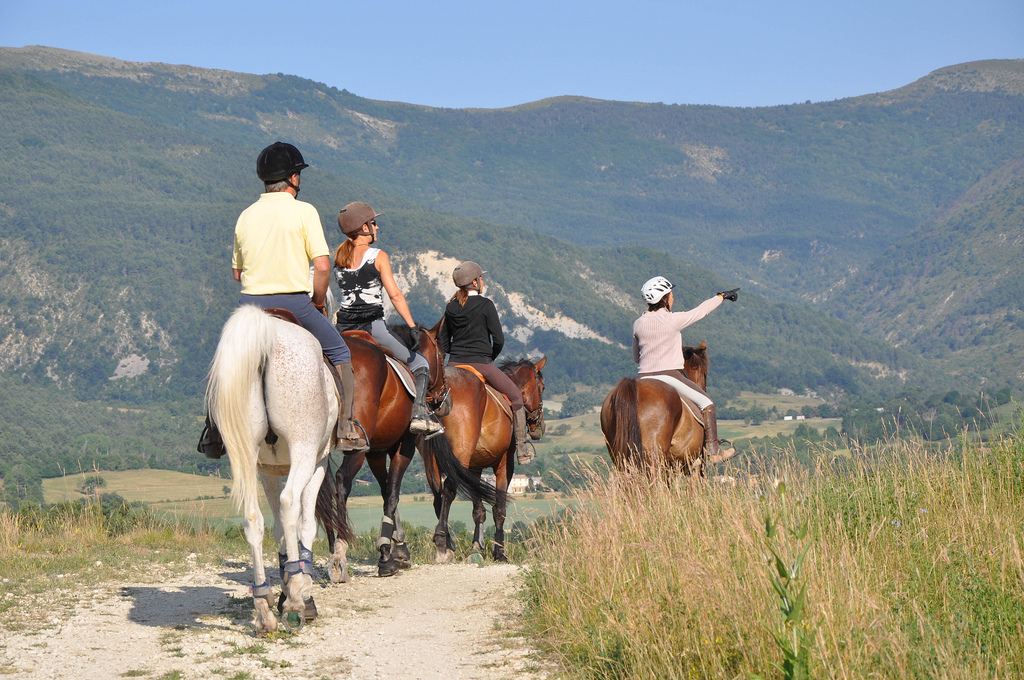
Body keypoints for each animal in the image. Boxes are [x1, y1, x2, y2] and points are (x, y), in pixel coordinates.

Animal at [206, 304, 347, 635]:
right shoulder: (317, 462)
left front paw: (282, 592)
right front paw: (300, 593)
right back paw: (295, 601)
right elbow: (304, 523)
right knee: (290, 502)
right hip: (304, 449)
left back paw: (264, 609)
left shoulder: (267, 471)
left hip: (245, 454)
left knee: (252, 518)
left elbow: (279, 530)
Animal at [418, 324, 546, 562]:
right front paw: (499, 551)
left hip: (432, 460)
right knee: (448, 489)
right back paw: (442, 542)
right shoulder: (504, 464)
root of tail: (439, 394)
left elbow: (478, 509)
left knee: (438, 494)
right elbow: (499, 509)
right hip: (460, 454)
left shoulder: (474, 468)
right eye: (541, 388)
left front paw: (477, 546)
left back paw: (448, 542)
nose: (538, 427)